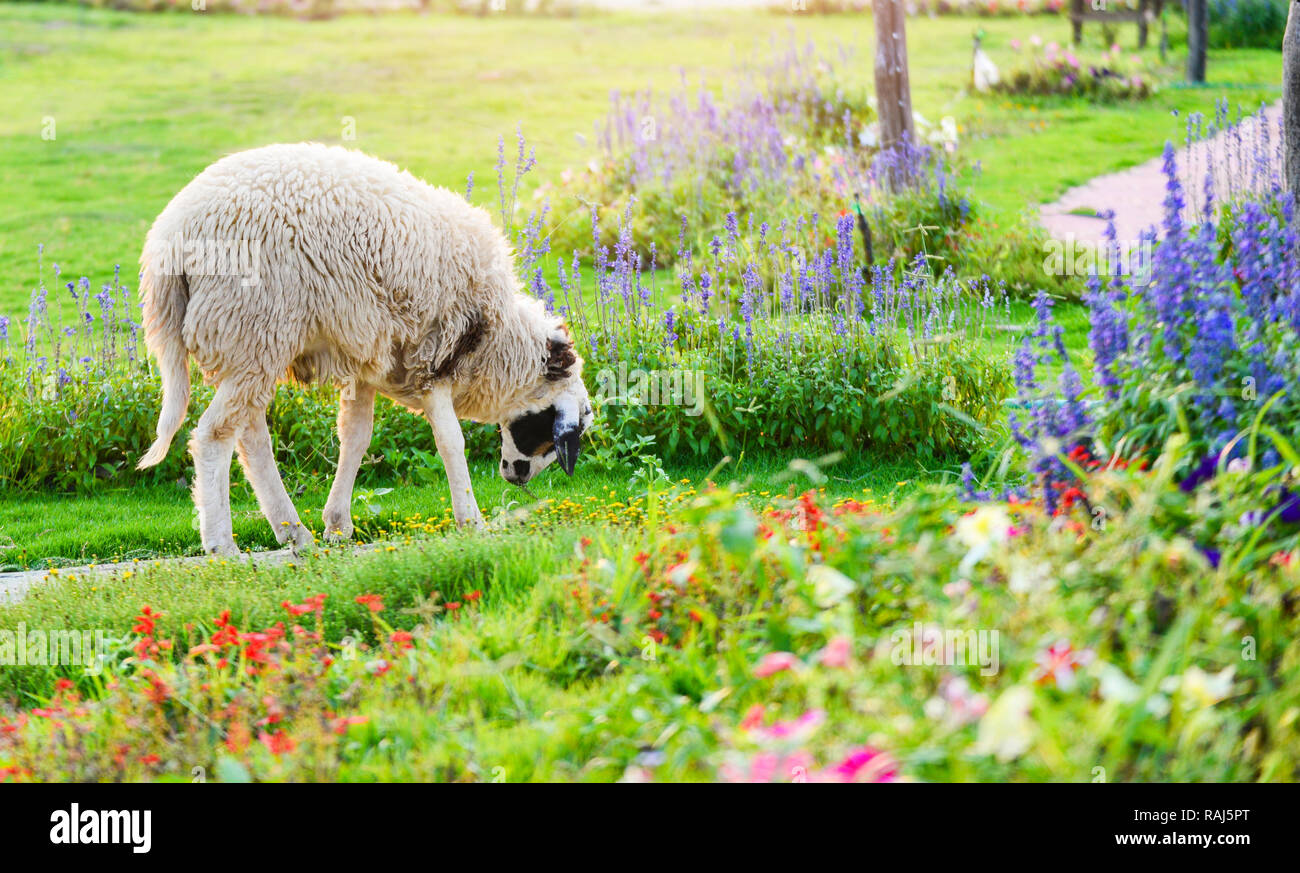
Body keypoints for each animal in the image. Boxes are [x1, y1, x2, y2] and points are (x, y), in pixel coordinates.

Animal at [135, 143, 593, 556]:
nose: (518, 479)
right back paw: (221, 544)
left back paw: (293, 532)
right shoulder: (432, 360)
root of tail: (171, 238)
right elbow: (450, 441)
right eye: (554, 429)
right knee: (214, 435)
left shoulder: (372, 359)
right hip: (254, 328)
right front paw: (471, 521)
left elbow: (355, 437)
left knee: (249, 436)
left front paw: (338, 525)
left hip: (250, 343)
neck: (499, 343)